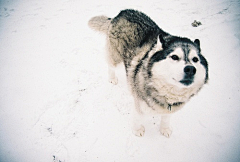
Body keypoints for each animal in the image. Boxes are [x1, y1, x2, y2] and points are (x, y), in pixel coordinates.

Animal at [88, 9, 208, 137]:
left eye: (195, 59)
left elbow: (166, 118)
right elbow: (138, 118)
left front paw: (164, 129)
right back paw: (112, 78)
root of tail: (121, 13)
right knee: (111, 66)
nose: (190, 69)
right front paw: (138, 130)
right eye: (174, 57)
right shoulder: (139, 104)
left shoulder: (169, 110)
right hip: (116, 58)